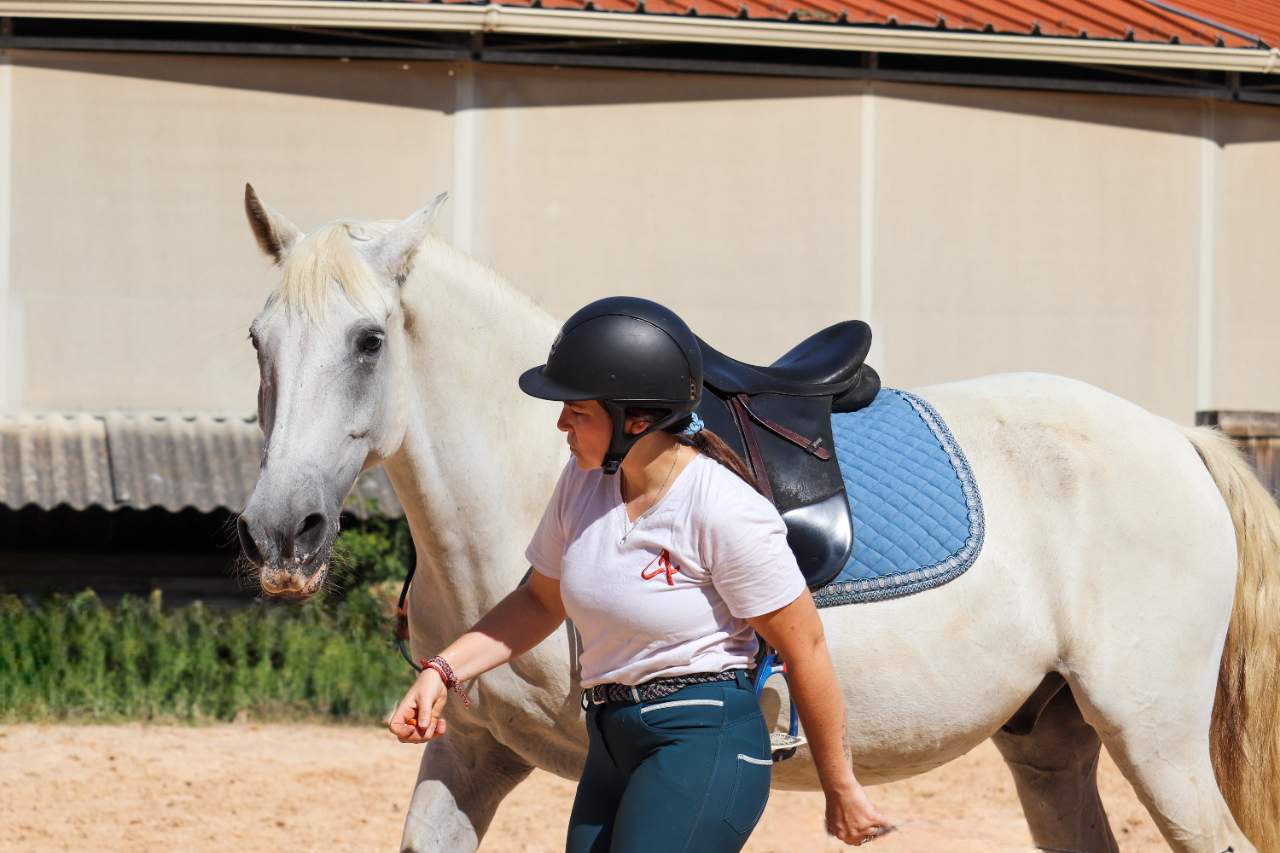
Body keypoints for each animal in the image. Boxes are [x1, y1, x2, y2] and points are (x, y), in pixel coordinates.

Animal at [234, 185, 1280, 853]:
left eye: (370, 340)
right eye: (257, 339)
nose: (281, 534)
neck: (534, 470)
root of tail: (1175, 438)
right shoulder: (472, 750)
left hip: (1155, 738)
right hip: (1050, 743)